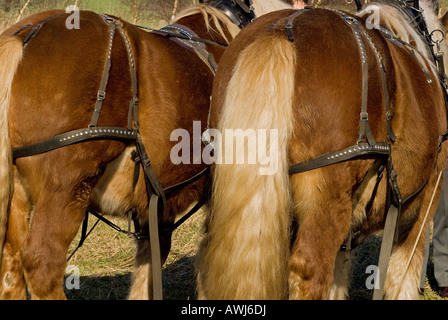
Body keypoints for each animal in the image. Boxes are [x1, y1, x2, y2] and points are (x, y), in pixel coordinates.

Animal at [0, 0, 290, 300]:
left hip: (19, 192)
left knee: (11, 261)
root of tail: (28, 33)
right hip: (67, 186)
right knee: (42, 262)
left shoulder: (156, 198)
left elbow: (150, 258)